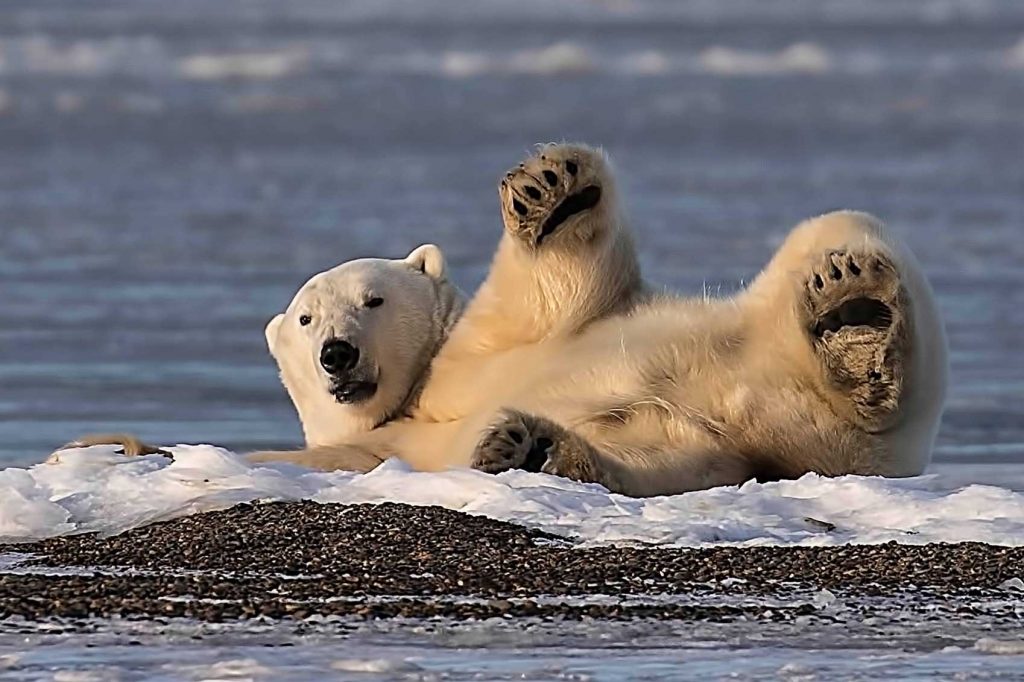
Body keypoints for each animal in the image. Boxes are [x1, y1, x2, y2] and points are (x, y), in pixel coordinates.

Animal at [251, 142, 948, 498]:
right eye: (308, 319)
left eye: (373, 299)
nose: (337, 352)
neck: (412, 399)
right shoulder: (382, 442)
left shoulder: (492, 348)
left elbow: (550, 292)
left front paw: (551, 188)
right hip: (737, 445)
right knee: (649, 455)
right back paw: (531, 446)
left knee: (839, 230)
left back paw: (854, 313)